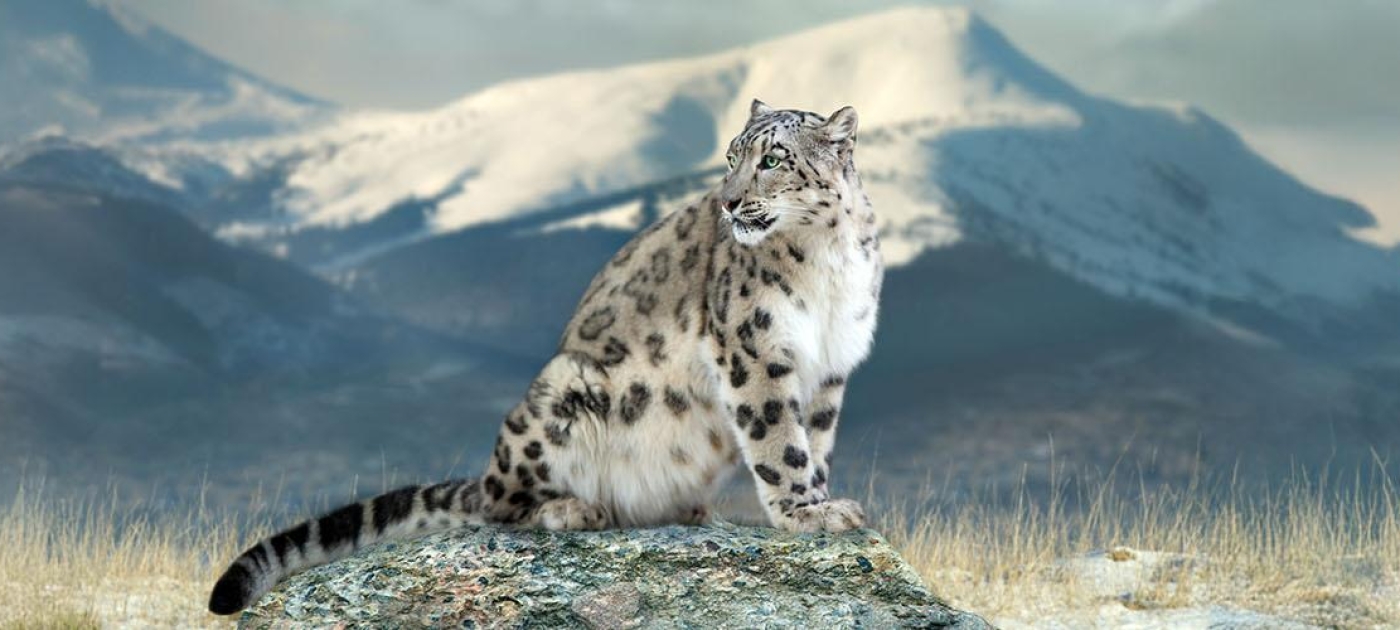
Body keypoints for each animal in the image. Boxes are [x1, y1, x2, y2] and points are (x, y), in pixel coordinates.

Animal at [208, 99, 883, 615]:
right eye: (730, 156)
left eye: (772, 159)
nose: (729, 202)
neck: (827, 264)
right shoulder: (753, 348)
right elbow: (777, 439)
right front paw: (804, 512)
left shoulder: (830, 367)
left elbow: (814, 439)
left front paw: (823, 501)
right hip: (565, 392)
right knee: (500, 506)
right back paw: (575, 508)